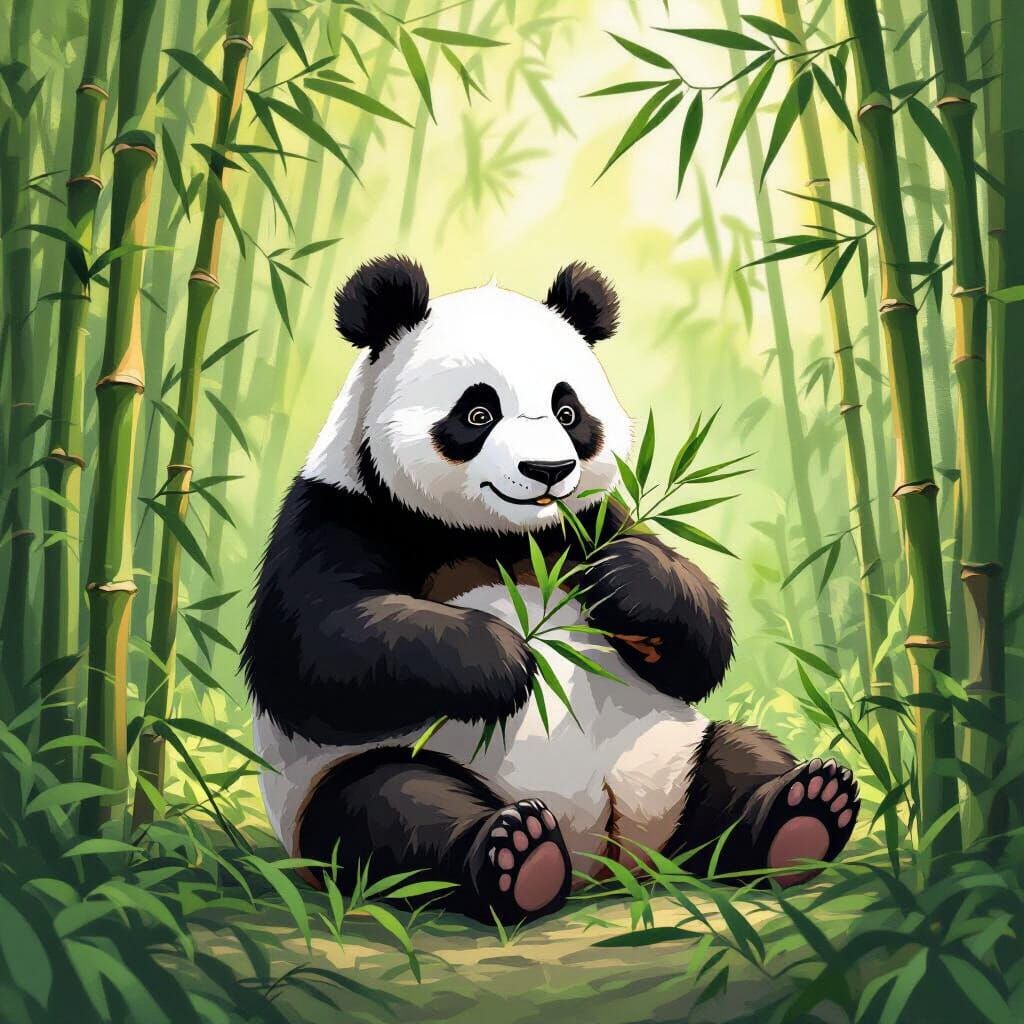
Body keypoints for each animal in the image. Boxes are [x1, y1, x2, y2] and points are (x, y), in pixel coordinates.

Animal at [243, 256, 860, 924]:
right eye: (477, 414)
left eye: (569, 413)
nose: (547, 471)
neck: (498, 535)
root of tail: (607, 855)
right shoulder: (338, 512)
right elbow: (314, 651)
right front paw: (506, 659)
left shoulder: (588, 523)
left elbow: (698, 648)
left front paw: (625, 580)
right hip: (355, 783)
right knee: (390, 809)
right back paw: (518, 858)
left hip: (671, 754)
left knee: (735, 758)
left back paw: (803, 813)